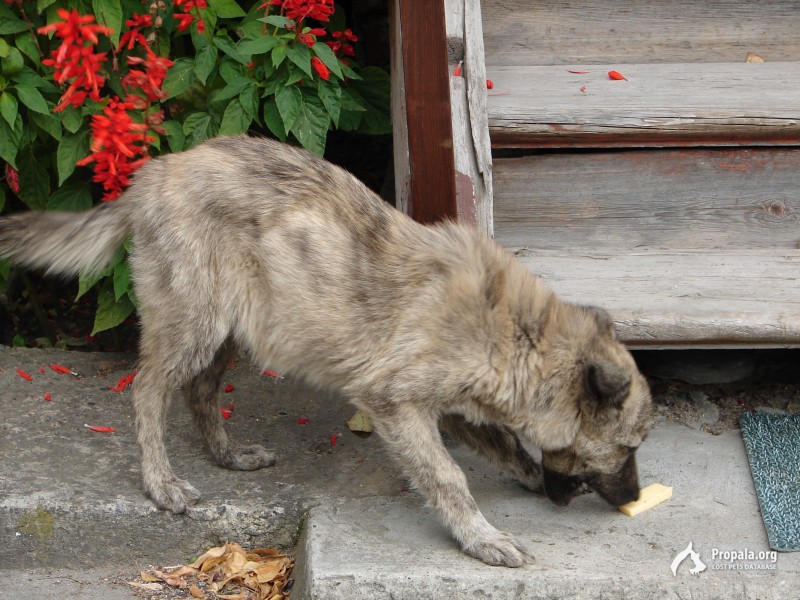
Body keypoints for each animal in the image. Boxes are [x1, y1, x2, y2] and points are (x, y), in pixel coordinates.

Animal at [0, 136, 652, 568]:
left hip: (230, 331)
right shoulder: (396, 403)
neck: (516, 331)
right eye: (628, 448)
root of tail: (155, 174)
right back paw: (161, 483)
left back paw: (226, 456)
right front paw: (481, 535)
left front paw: (526, 477)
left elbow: (506, 445)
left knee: (200, 392)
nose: (636, 498)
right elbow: (447, 478)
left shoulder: (450, 408)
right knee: (147, 392)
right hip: (194, 324)